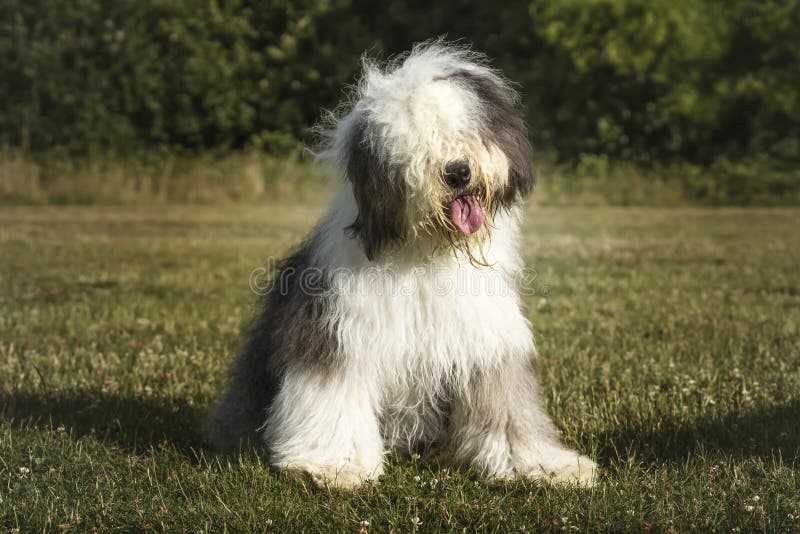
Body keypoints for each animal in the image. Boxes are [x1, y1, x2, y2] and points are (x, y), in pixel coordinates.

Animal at [206, 42, 592, 490]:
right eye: (414, 144)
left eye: (465, 126)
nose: (457, 172)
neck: (427, 253)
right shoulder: (336, 331)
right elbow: (332, 393)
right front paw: (337, 466)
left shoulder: (487, 340)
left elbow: (506, 406)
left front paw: (543, 466)